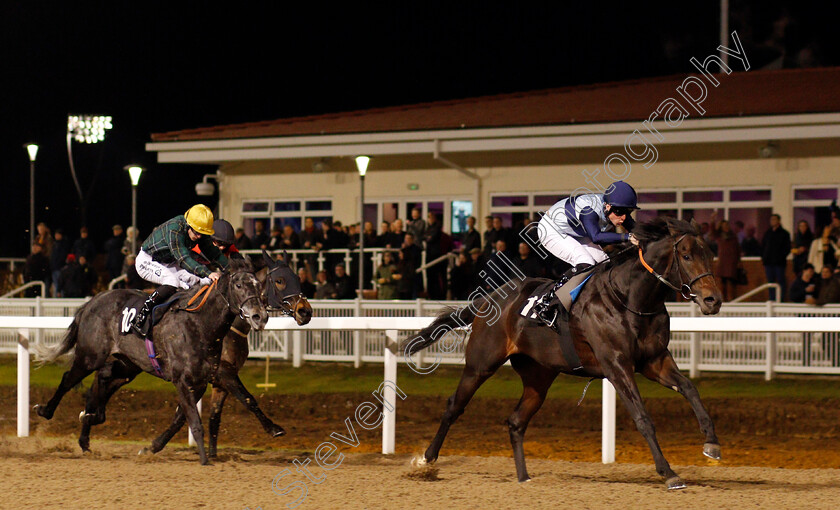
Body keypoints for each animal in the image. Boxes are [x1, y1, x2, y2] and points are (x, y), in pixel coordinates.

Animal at [34, 260, 266, 464]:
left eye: (260, 286)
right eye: (238, 285)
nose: (260, 316)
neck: (200, 324)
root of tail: (93, 300)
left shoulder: (201, 381)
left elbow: (181, 419)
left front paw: (151, 447)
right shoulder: (184, 380)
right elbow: (194, 419)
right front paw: (204, 459)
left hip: (127, 365)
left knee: (102, 382)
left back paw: (88, 422)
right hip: (90, 356)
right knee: (68, 379)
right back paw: (46, 410)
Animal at [406, 217, 720, 488]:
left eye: (709, 254)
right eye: (687, 256)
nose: (712, 300)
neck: (629, 298)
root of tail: (489, 299)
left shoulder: (654, 360)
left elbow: (690, 388)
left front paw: (712, 443)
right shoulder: (617, 365)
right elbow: (642, 418)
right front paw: (668, 472)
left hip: (539, 377)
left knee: (516, 421)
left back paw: (524, 478)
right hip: (481, 364)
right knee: (454, 407)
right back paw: (426, 461)